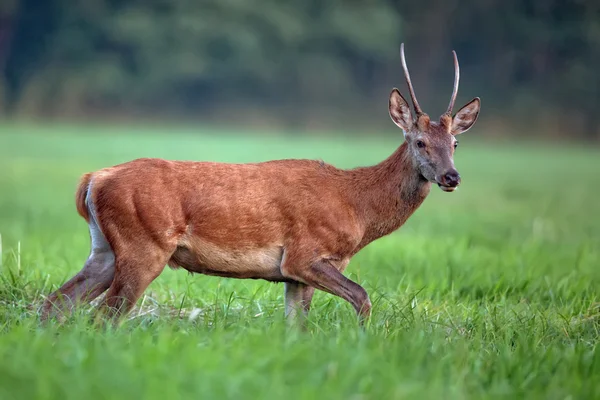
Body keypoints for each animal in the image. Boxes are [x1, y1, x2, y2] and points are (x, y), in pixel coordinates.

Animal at [39, 43, 480, 326]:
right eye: (420, 141)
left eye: (455, 143)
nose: (451, 177)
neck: (356, 205)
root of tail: (93, 179)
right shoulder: (304, 255)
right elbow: (363, 298)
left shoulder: (296, 275)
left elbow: (296, 329)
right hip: (144, 244)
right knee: (102, 317)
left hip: (104, 248)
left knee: (55, 304)